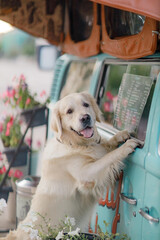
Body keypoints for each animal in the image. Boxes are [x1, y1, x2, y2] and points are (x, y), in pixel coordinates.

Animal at [3, 92, 139, 240]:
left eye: (86, 104)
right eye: (69, 111)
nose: (85, 117)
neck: (76, 144)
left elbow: (105, 145)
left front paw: (121, 135)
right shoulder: (87, 174)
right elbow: (108, 157)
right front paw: (125, 147)